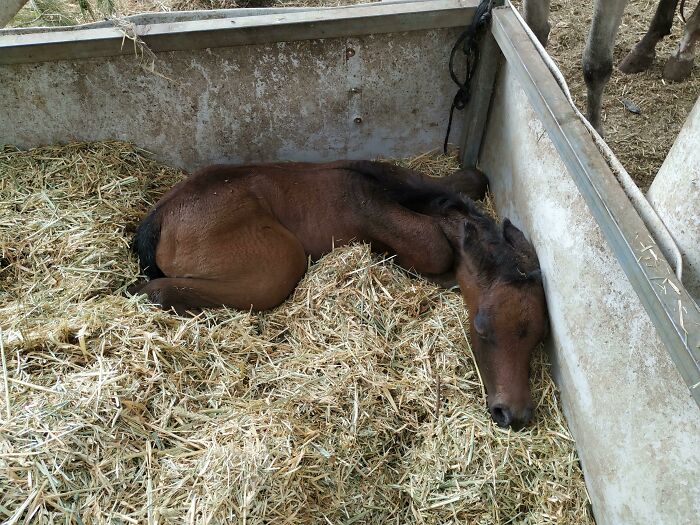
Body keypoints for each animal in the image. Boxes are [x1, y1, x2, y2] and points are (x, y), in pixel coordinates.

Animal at [129, 160, 549, 430]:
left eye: (537, 338)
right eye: (482, 328)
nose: (513, 414)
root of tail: (159, 217)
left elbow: (472, 178)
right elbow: (436, 247)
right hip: (280, 256)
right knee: (157, 289)